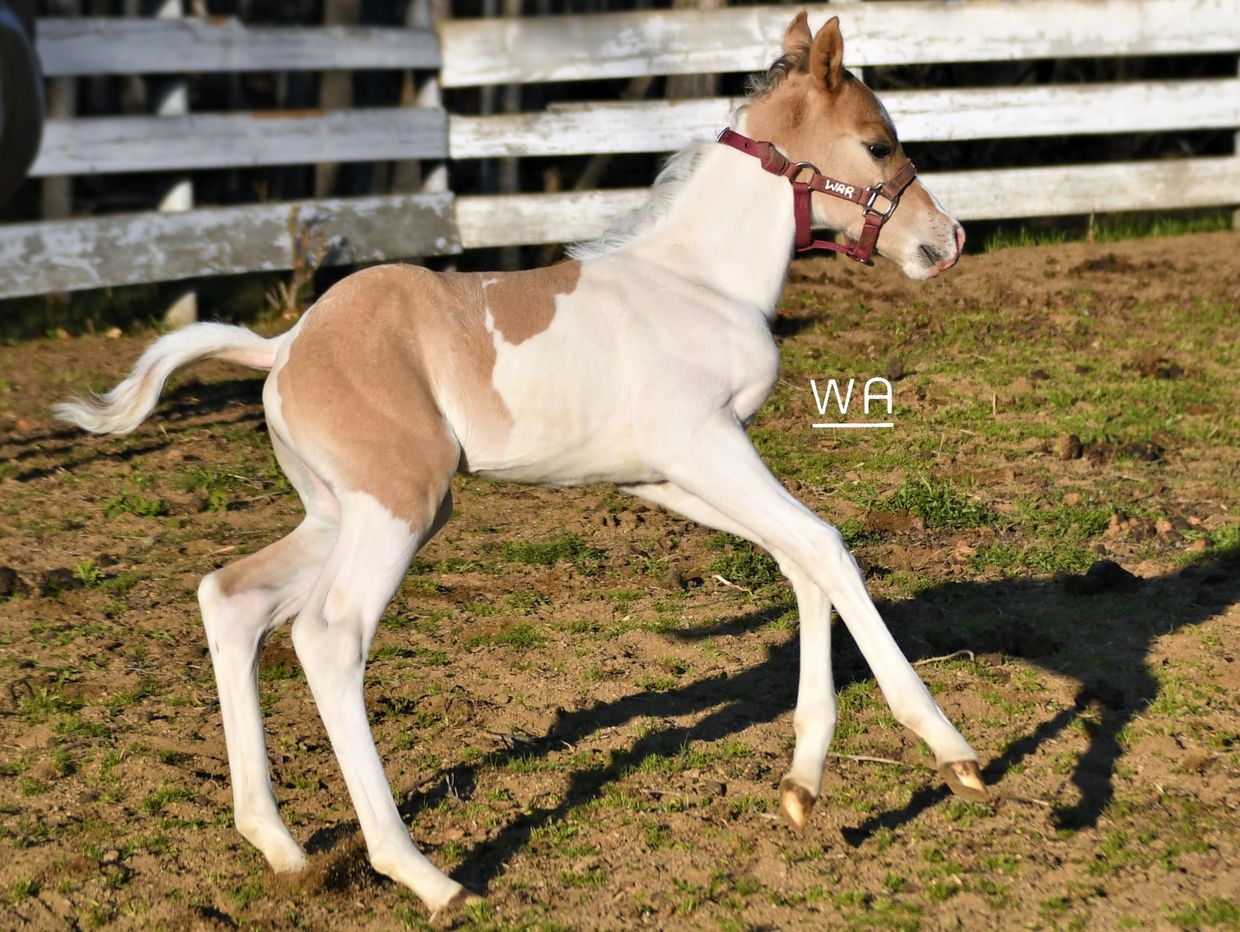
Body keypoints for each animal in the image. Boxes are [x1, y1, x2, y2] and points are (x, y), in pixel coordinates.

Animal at [55, 12, 981, 921]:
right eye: (878, 143)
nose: (949, 240)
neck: (702, 282)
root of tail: (284, 346)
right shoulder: (704, 444)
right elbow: (825, 545)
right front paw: (949, 748)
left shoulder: (666, 475)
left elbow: (798, 561)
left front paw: (803, 783)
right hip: (400, 506)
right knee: (328, 634)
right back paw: (425, 876)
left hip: (337, 514)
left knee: (233, 599)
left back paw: (281, 847)